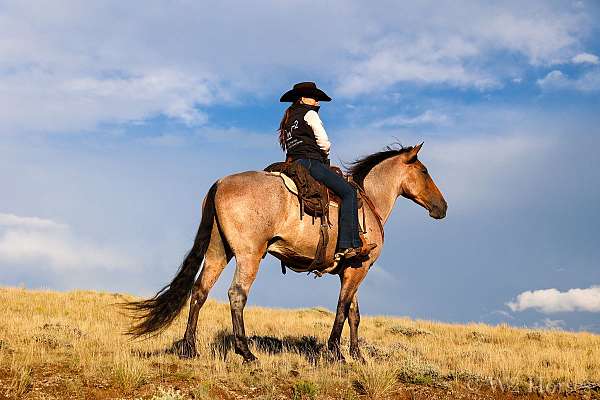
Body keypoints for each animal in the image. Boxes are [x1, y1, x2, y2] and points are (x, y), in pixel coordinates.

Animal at [125, 143, 446, 362]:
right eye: (425, 171)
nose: (442, 207)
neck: (369, 203)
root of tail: (219, 184)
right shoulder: (358, 269)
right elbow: (342, 309)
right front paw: (336, 353)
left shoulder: (352, 270)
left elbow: (353, 313)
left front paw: (356, 356)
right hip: (249, 255)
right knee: (236, 294)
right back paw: (246, 352)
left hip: (218, 252)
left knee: (200, 291)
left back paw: (190, 348)